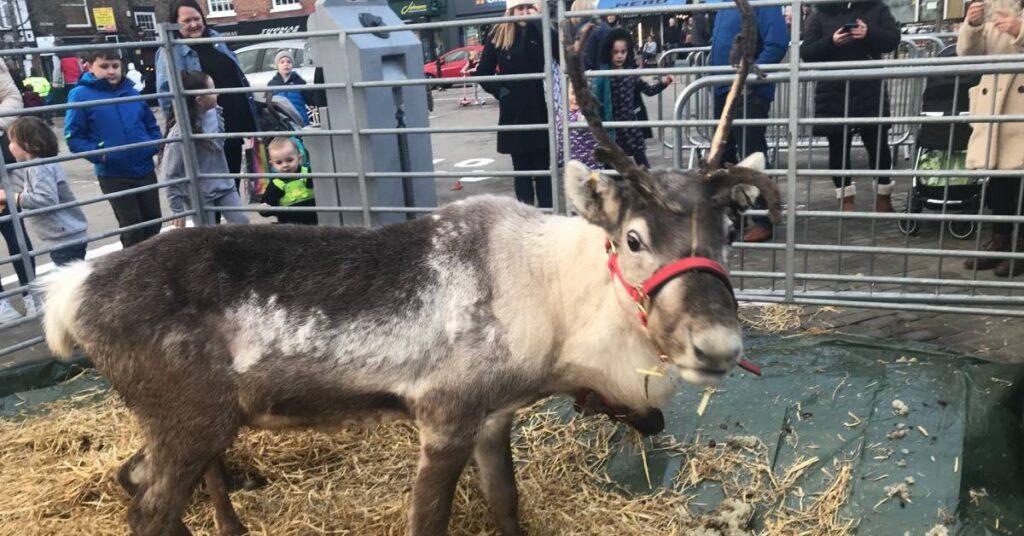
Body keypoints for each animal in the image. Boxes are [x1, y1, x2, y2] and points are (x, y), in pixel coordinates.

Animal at [38, 1, 774, 534]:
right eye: (633, 238)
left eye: (729, 228)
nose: (717, 345)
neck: (554, 305)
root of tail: (72, 293)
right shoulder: (443, 416)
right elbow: (429, 521)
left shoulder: (494, 418)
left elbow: (507, 506)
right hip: (186, 419)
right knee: (146, 504)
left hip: (194, 422)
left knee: (136, 477)